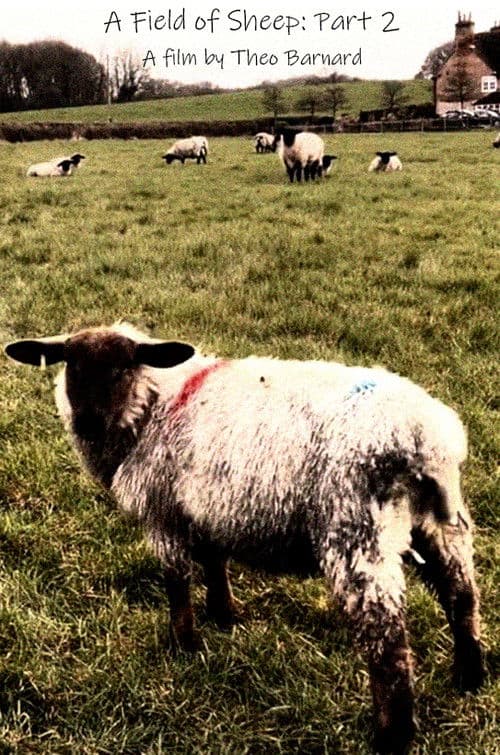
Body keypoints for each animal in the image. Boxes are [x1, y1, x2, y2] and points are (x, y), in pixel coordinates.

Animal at [5, 322, 485, 754]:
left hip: (356, 530)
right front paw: (224, 616)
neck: (153, 403)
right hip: (440, 523)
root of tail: (427, 438)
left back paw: (392, 736)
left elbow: (176, 582)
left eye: (123, 367)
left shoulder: (164, 513)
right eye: (71, 365)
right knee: (461, 596)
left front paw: (185, 646)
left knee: (387, 641)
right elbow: (215, 563)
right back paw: (470, 679)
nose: (86, 422)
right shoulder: (207, 507)